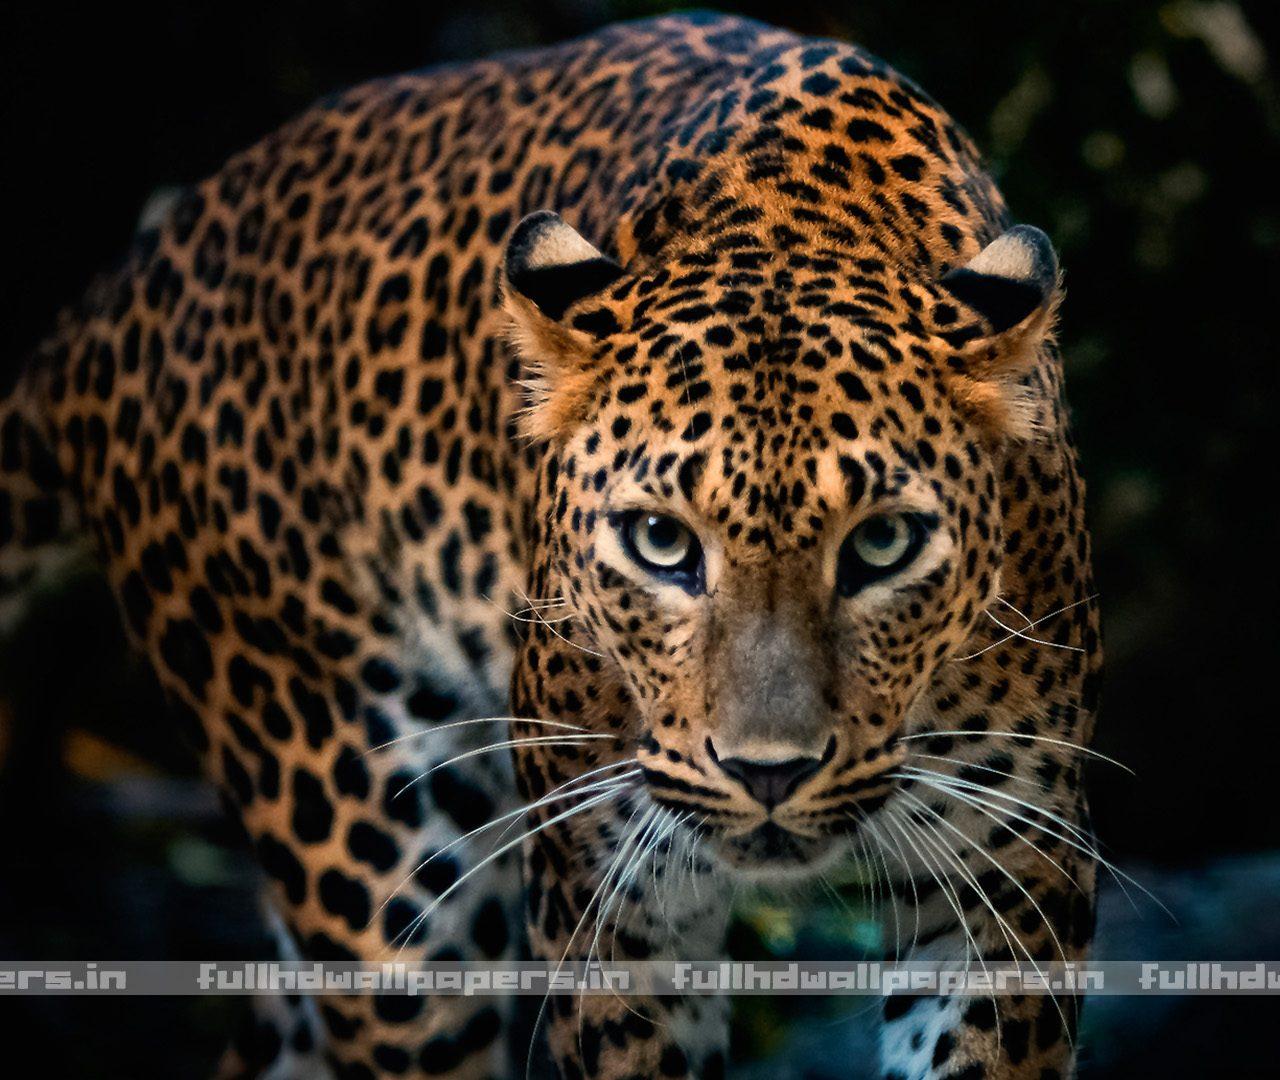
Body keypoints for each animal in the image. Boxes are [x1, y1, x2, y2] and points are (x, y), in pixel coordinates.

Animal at [0, 12, 1102, 1079]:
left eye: (879, 544)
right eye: (660, 542)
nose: (768, 774)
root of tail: (123, 291)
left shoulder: (1011, 881)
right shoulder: (611, 905)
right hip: (366, 849)